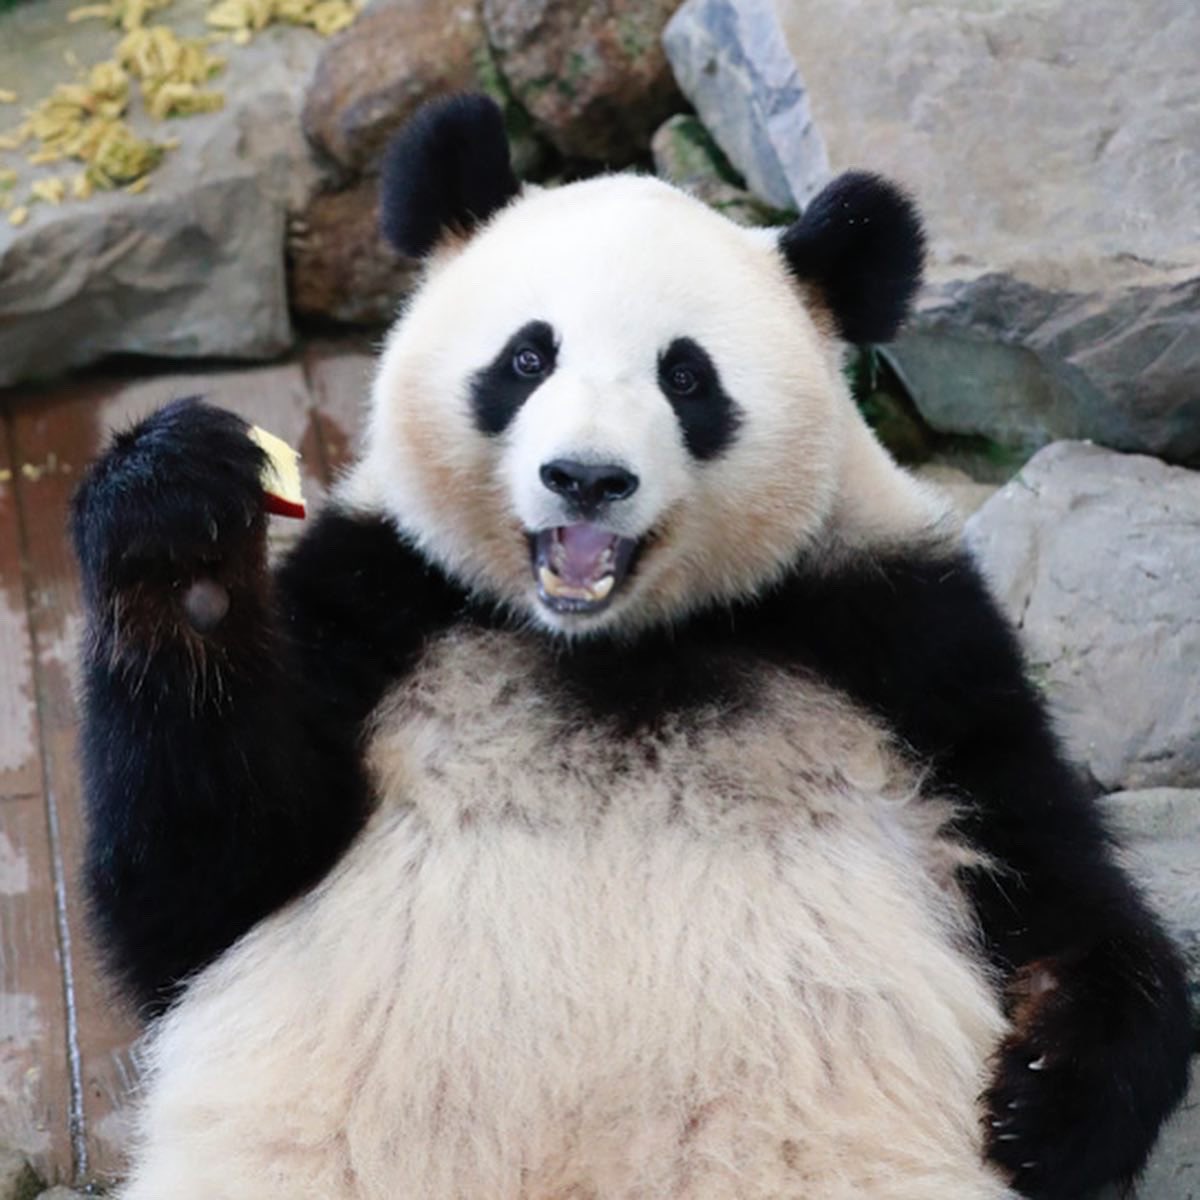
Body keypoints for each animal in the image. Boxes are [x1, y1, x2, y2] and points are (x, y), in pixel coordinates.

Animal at [70, 94, 1191, 1200]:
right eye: (528, 358)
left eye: (686, 377)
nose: (587, 478)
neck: (605, 644)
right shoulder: (375, 598)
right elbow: (200, 882)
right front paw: (184, 540)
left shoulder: (899, 634)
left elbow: (1042, 870)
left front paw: (1047, 1104)